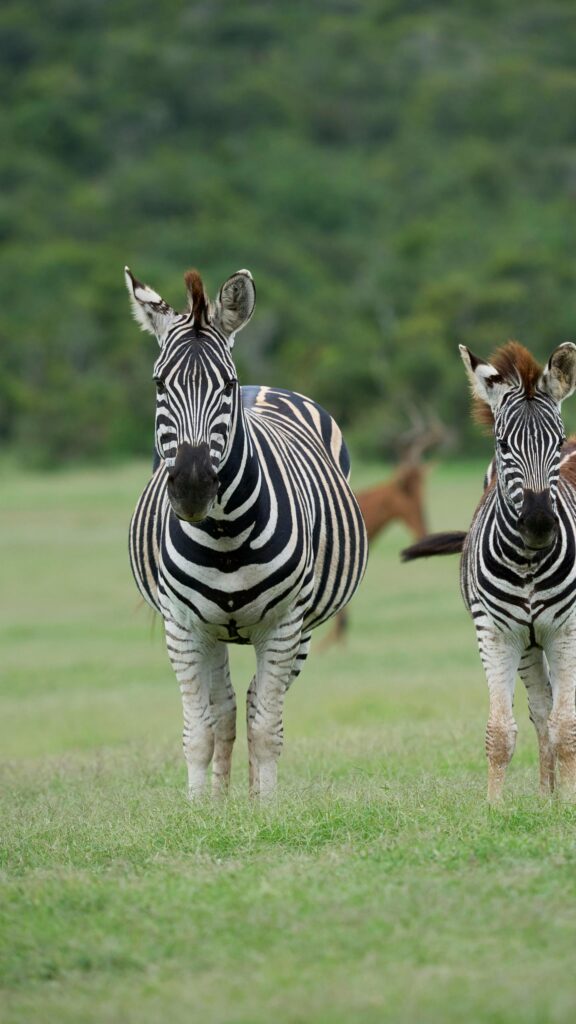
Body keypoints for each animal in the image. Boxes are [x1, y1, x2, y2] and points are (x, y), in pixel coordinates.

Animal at [126, 265, 368, 798]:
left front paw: (265, 809)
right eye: (158, 384)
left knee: (256, 701)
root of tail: (265, 387)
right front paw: (200, 810)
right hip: (212, 630)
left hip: (300, 629)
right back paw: (220, 799)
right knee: (225, 708)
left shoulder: (283, 625)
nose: (193, 486)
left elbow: (266, 728)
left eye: (227, 384)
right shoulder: (181, 626)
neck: (225, 537)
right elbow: (199, 730)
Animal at [403, 340, 576, 802]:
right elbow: (502, 730)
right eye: (502, 444)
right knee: (541, 709)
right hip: (529, 646)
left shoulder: (566, 631)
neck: (529, 561)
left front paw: (570, 803)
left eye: (556, 442)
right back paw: (547, 795)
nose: (539, 524)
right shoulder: (498, 634)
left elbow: (567, 726)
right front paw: (497, 807)